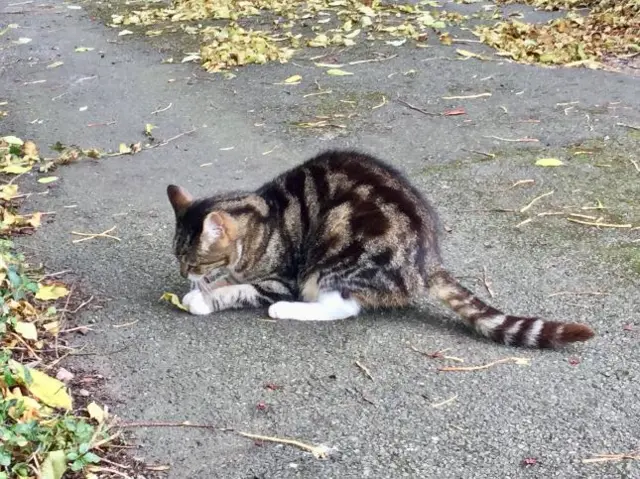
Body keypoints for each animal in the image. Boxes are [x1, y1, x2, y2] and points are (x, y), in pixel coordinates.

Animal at [166, 150, 596, 348]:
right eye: (178, 257)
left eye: (191, 259)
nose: (183, 273)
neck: (261, 217)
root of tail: (428, 259)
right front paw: (202, 288)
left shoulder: (281, 278)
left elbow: (240, 289)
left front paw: (204, 297)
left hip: (334, 256)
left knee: (343, 306)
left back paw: (288, 310)